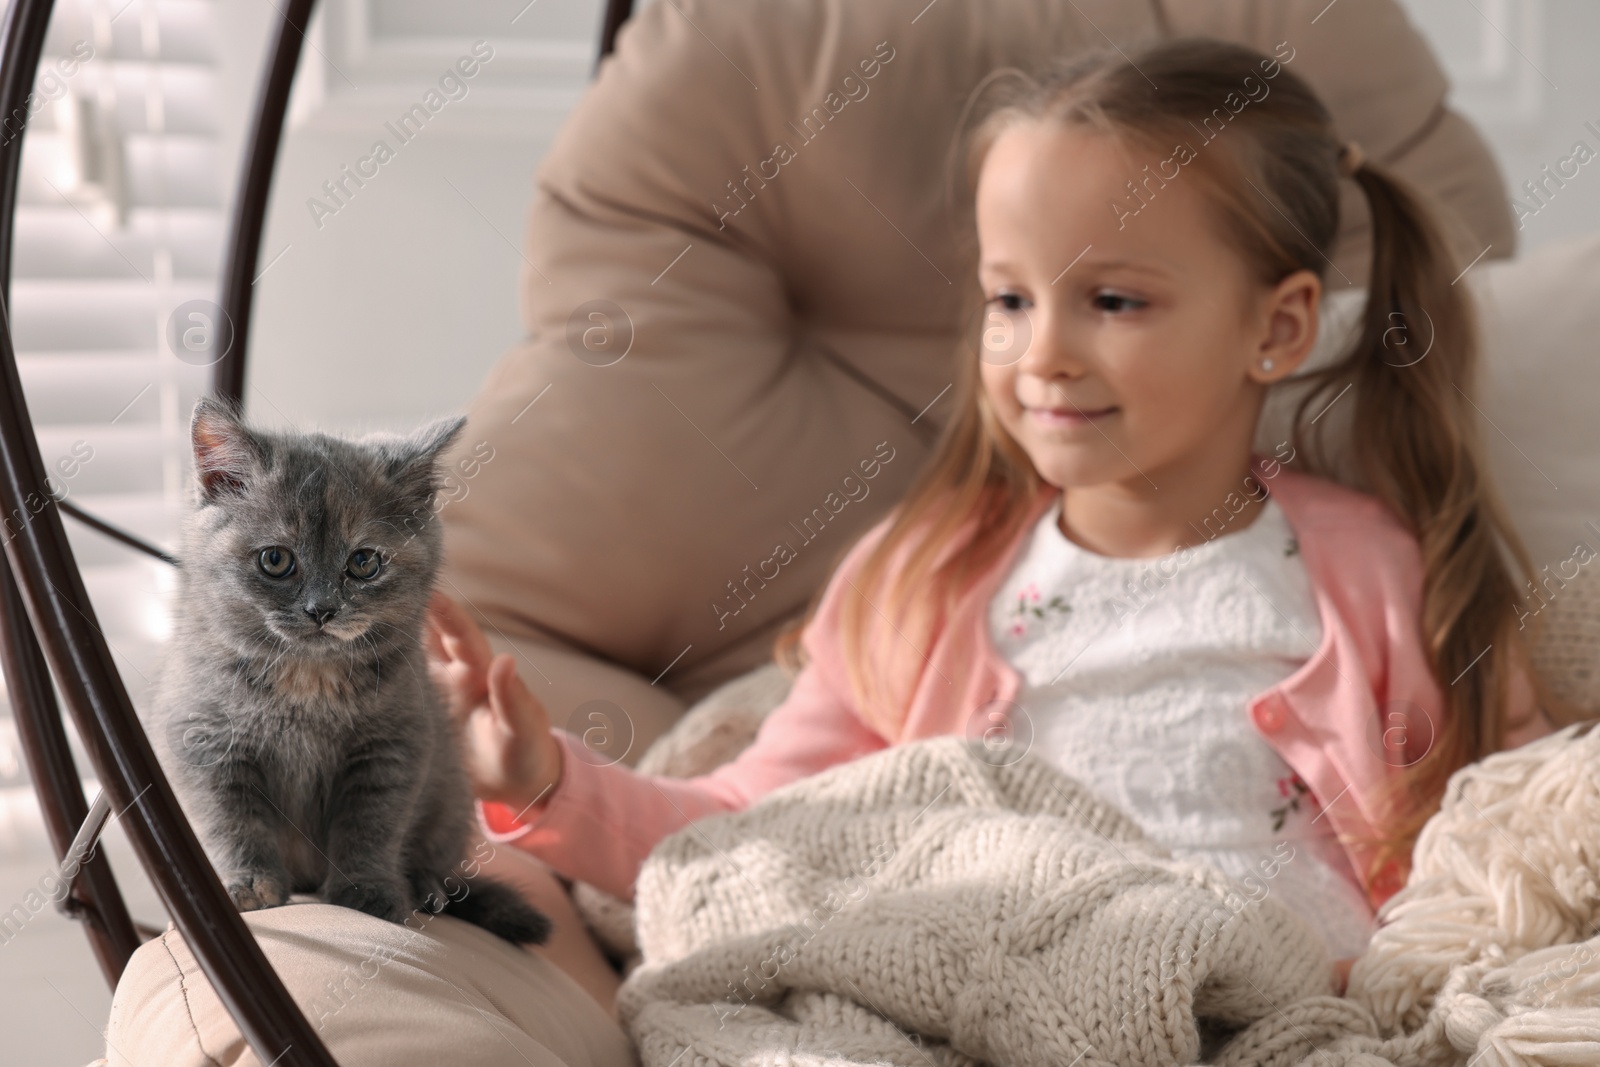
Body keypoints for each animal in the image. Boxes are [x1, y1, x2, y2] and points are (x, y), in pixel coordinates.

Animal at [150, 398, 550, 940]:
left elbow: (371, 824)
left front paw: (367, 892)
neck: (307, 679)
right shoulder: (202, 741)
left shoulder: (394, 744)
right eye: (275, 559)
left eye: (363, 562)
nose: (322, 609)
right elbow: (231, 821)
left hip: (450, 797)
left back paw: (427, 886)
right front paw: (250, 885)